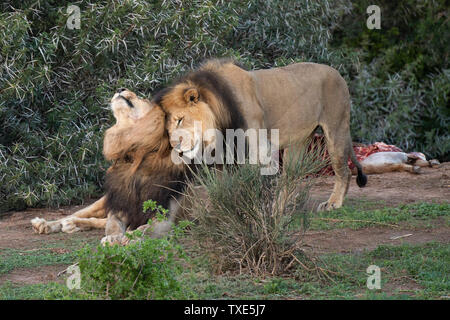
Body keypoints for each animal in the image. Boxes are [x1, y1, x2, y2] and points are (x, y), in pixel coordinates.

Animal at [31, 89, 186, 244]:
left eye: (145, 99)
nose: (121, 89)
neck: (134, 157)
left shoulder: (166, 217)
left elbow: (146, 228)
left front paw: (131, 237)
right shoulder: (118, 207)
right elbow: (112, 225)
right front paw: (113, 237)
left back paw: (73, 224)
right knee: (77, 215)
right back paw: (46, 224)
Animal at [155, 58, 366, 211]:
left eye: (180, 120)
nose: (174, 147)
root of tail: (336, 72)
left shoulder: (257, 147)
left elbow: (250, 183)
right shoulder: (225, 154)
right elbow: (224, 186)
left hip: (336, 129)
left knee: (344, 171)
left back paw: (333, 203)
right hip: (298, 141)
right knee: (291, 175)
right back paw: (280, 208)